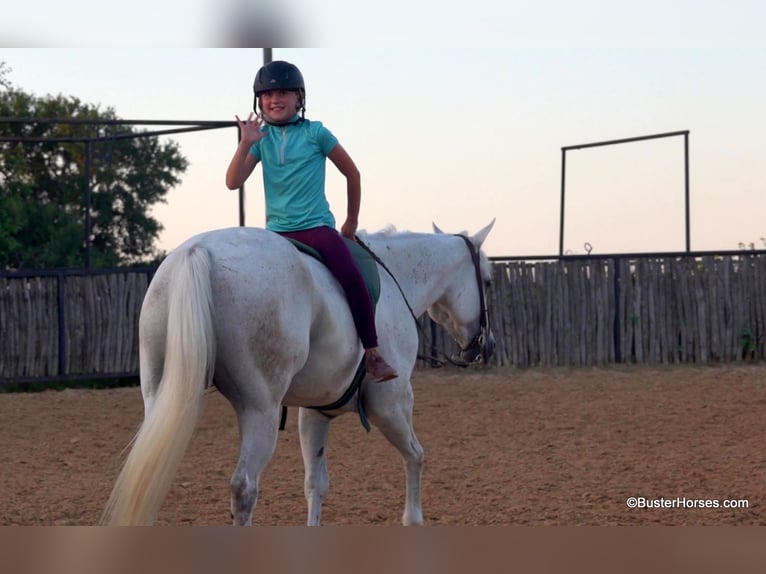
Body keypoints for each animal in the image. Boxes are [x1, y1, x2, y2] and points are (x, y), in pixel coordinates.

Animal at [102, 220, 498, 528]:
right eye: (490, 282)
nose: (486, 345)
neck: (395, 277)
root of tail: (198, 251)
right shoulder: (392, 405)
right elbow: (416, 455)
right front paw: (413, 520)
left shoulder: (315, 414)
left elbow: (315, 484)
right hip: (259, 411)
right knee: (244, 489)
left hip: (160, 399)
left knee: (146, 475)